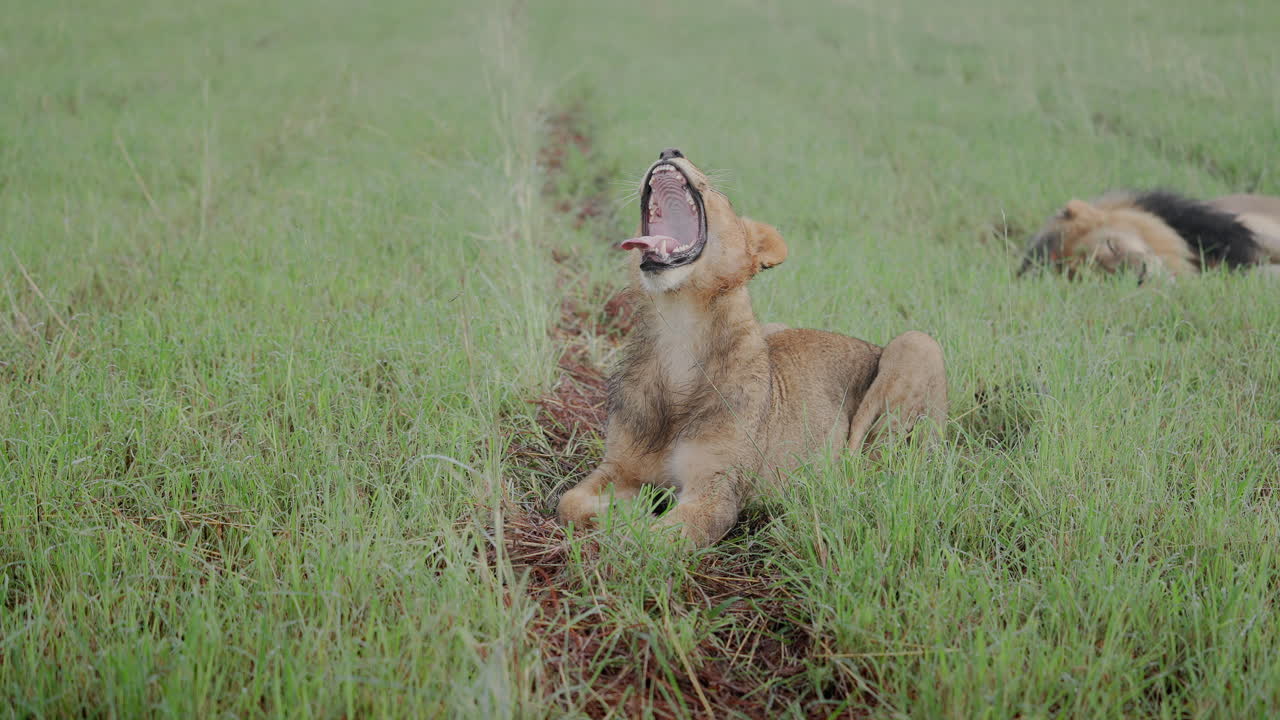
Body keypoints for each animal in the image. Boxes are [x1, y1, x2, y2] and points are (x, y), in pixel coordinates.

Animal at [556, 148, 948, 548]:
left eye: (719, 195)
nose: (669, 151)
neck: (677, 333)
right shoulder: (618, 467)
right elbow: (567, 502)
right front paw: (623, 512)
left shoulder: (716, 493)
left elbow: (648, 540)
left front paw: (631, 522)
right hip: (775, 330)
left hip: (917, 345)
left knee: (868, 462)